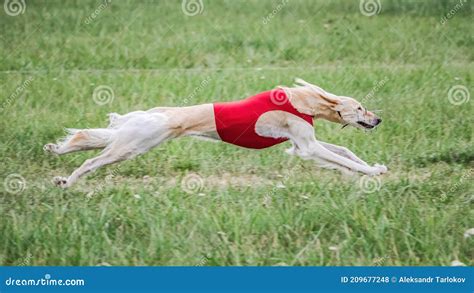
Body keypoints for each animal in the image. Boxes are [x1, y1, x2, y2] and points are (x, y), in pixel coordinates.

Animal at [43, 78, 386, 187]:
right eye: (360, 108)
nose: (378, 119)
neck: (303, 101)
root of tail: (153, 113)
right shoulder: (307, 146)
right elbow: (344, 159)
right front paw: (370, 173)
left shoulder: (301, 143)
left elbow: (345, 153)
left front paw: (377, 167)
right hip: (136, 143)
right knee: (92, 161)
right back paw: (68, 181)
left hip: (134, 138)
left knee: (88, 142)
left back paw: (57, 153)